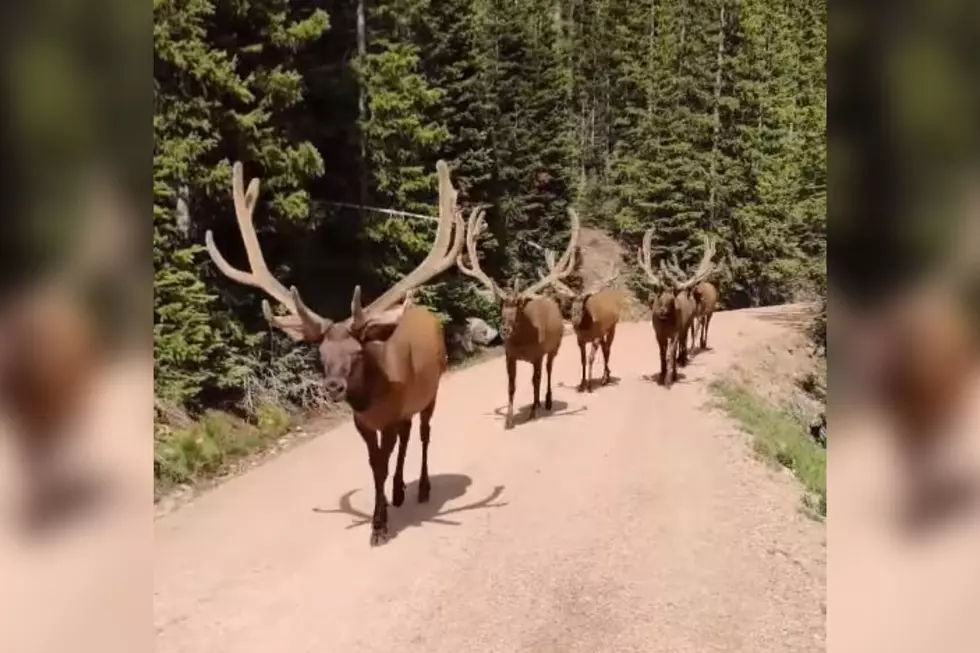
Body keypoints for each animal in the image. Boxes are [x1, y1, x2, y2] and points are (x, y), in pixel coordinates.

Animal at [205, 159, 466, 544]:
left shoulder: (391, 415)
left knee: (423, 434)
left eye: (357, 352)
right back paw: (401, 490)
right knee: (408, 438)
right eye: (321, 354)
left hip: (431, 392)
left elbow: (383, 462)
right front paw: (381, 515)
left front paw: (379, 526)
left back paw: (422, 488)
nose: (333, 387)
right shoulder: (364, 421)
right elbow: (375, 465)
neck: (373, 399)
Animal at [456, 206, 580, 426]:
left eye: (518, 311)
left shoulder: (538, 354)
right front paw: (509, 419)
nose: (504, 330)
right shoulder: (509, 355)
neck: (523, 342)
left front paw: (532, 412)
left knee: (548, 371)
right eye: (501, 308)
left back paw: (546, 402)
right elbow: (511, 386)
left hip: (554, 347)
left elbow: (535, 381)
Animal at [540, 256, 624, 394]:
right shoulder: (580, 339)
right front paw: (581, 385)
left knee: (608, 349)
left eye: (583, 306)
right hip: (602, 333)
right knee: (605, 349)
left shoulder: (595, 337)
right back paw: (606, 375)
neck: (586, 328)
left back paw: (605, 378)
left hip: (612, 327)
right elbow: (583, 360)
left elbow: (590, 359)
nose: (575, 320)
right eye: (572, 305)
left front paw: (589, 387)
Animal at [640, 228, 716, 388]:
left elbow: (671, 353)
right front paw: (662, 375)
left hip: (686, 325)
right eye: (659, 297)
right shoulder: (658, 334)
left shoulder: (674, 332)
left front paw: (669, 379)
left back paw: (680, 363)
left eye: (671, 300)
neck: (665, 325)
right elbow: (662, 355)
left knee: (683, 342)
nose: (661, 312)